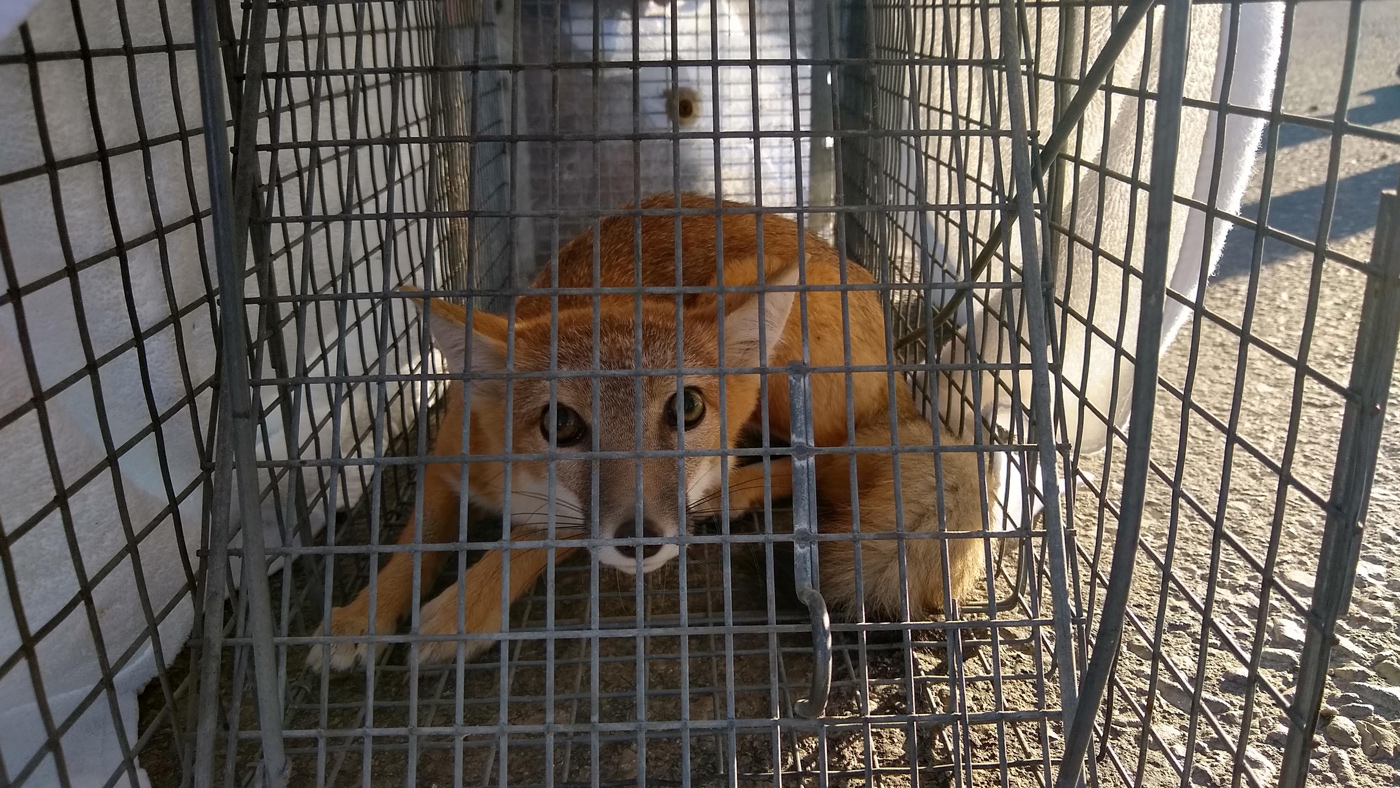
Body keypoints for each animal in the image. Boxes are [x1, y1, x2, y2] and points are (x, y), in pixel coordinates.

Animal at [309, 191, 985, 671]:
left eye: (684, 409)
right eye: (560, 423)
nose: (644, 540)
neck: (517, 484)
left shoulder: (566, 525)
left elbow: (520, 545)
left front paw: (458, 611)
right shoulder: (449, 466)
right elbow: (407, 551)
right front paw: (360, 618)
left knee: (814, 456)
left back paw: (732, 491)